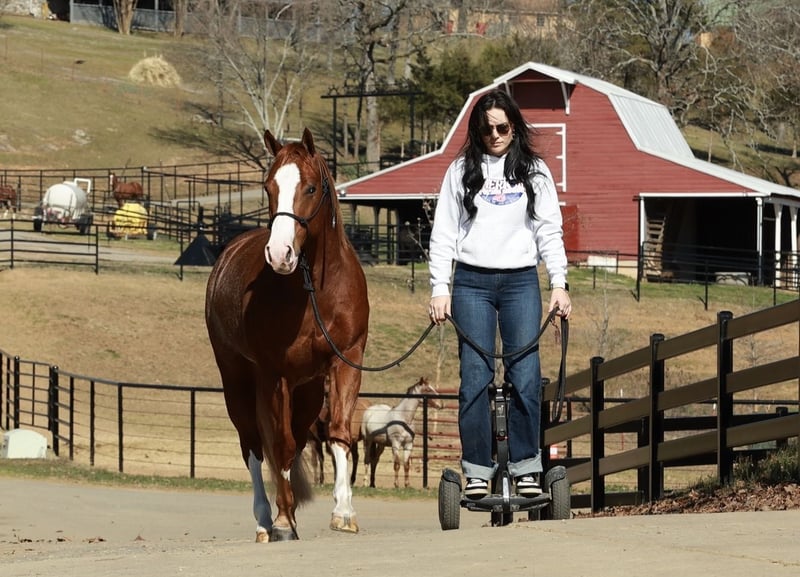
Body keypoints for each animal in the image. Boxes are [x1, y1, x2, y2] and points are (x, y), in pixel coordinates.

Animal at [205, 128, 369, 543]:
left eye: (310, 187)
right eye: (268, 187)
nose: (280, 254)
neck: (316, 292)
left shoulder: (346, 362)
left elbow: (339, 435)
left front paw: (344, 512)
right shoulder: (274, 375)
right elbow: (279, 445)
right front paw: (281, 520)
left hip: (307, 392)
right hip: (238, 381)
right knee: (253, 445)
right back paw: (268, 518)